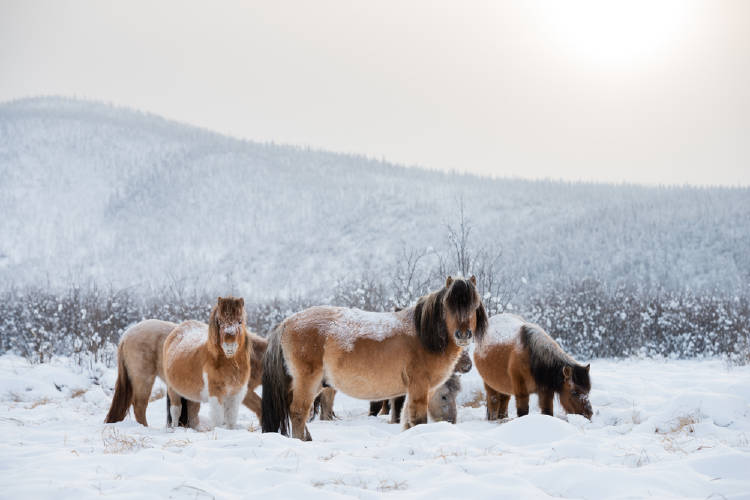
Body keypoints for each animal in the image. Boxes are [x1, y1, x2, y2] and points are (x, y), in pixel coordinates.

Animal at [164, 296, 253, 430]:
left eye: (240, 321)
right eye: (219, 322)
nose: (229, 346)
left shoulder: (235, 394)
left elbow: (231, 420)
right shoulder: (216, 393)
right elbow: (218, 419)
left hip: (192, 397)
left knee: (192, 414)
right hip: (173, 390)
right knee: (175, 411)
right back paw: (174, 429)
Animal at [262, 276, 490, 440]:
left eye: (474, 305)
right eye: (448, 305)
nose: (463, 335)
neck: (423, 336)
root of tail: (286, 323)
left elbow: (406, 419)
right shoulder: (419, 387)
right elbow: (417, 419)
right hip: (307, 382)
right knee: (298, 412)